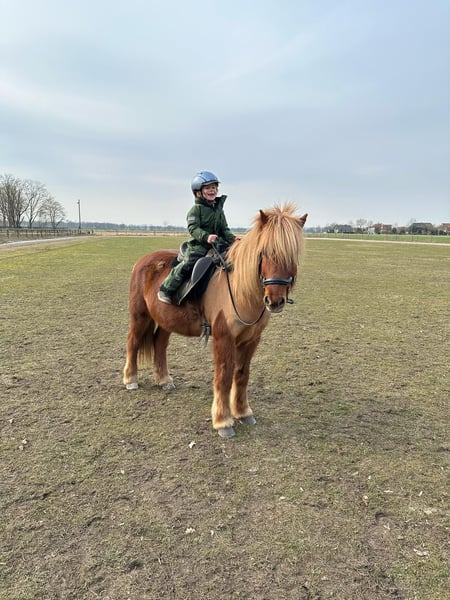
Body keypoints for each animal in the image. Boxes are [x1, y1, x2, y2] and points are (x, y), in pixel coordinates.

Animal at [123, 202, 307, 438]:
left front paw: (243, 412)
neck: (239, 289)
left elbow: (241, 375)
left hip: (166, 320)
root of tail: (143, 260)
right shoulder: (223, 338)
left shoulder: (251, 340)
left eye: (293, 255)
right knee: (133, 342)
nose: (275, 300)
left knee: (159, 344)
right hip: (140, 316)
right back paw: (131, 380)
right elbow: (224, 376)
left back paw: (164, 380)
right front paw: (223, 421)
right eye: (265, 252)